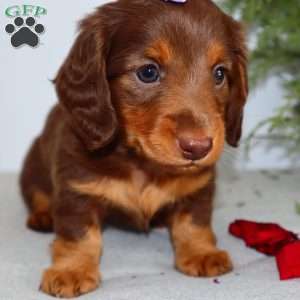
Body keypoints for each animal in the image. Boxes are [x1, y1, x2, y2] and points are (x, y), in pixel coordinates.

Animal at [19, 0, 248, 296]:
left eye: (219, 73)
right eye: (148, 72)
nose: (198, 147)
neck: (141, 162)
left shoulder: (198, 187)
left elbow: (194, 222)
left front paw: (201, 252)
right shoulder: (75, 190)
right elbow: (79, 235)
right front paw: (72, 270)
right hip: (32, 168)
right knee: (38, 194)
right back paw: (43, 216)